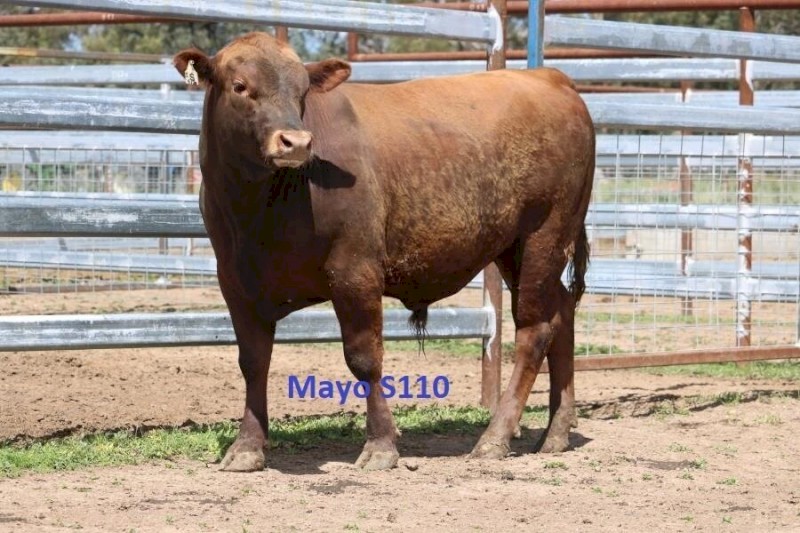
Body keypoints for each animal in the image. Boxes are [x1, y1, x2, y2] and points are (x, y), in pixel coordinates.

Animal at [173, 32, 594, 472]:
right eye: (240, 86)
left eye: (302, 91)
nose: (297, 142)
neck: (260, 209)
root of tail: (550, 78)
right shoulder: (235, 282)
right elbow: (253, 362)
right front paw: (246, 446)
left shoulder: (355, 272)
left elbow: (363, 357)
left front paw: (380, 445)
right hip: (516, 251)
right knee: (562, 312)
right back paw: (556, 432)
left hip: (544, 237)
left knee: (534, 331)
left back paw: (495, 437)